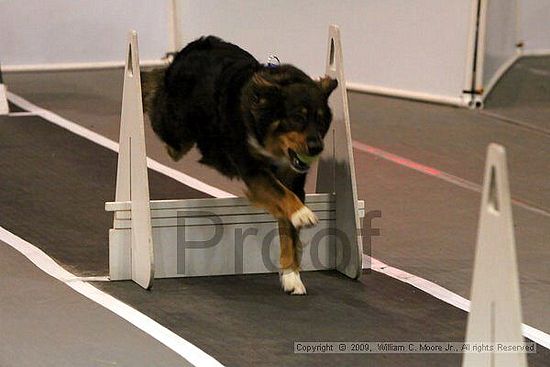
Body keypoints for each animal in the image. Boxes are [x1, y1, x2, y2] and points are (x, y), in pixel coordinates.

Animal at [142, 36, 338, 296]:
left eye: (322, 121)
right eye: (297, 118)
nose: (317, 147)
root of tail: (194, 45)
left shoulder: (292, 177)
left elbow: (288, 230)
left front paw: (291, 276)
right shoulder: (252, 169)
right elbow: (281, 194)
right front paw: (302, 214)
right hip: (176, 132)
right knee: (157, 98)